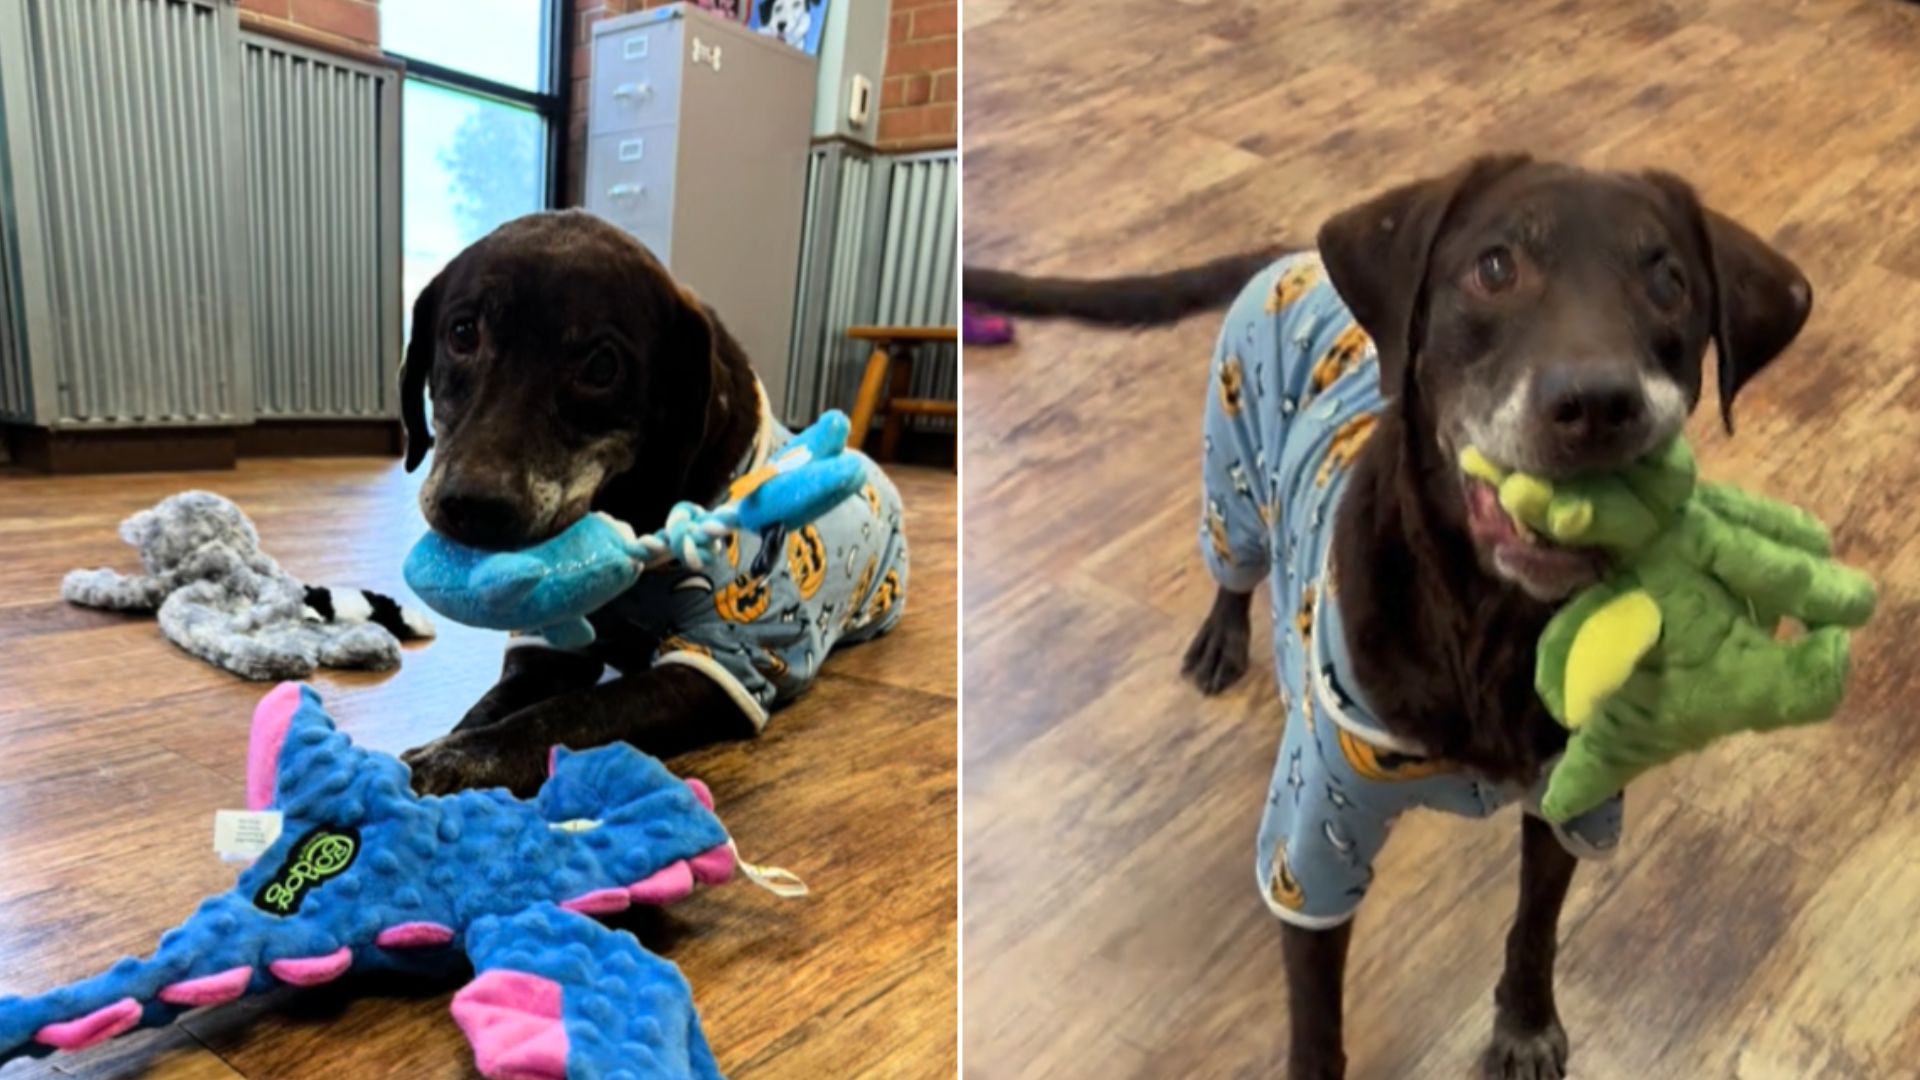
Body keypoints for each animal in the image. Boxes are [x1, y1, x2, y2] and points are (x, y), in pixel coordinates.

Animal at [960, 153, 1812, 1076]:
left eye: (1669, 283)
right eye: (1495, 267)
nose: (1597, 403)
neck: (1491, 619)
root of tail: (1294, 256)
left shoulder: (1576, 802)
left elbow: (1535, 928)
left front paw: (1525, 1021)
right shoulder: (1312, 850)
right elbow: (1316, 1018)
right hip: (1232, 478)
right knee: (1235, 565)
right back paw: (1224, 638)